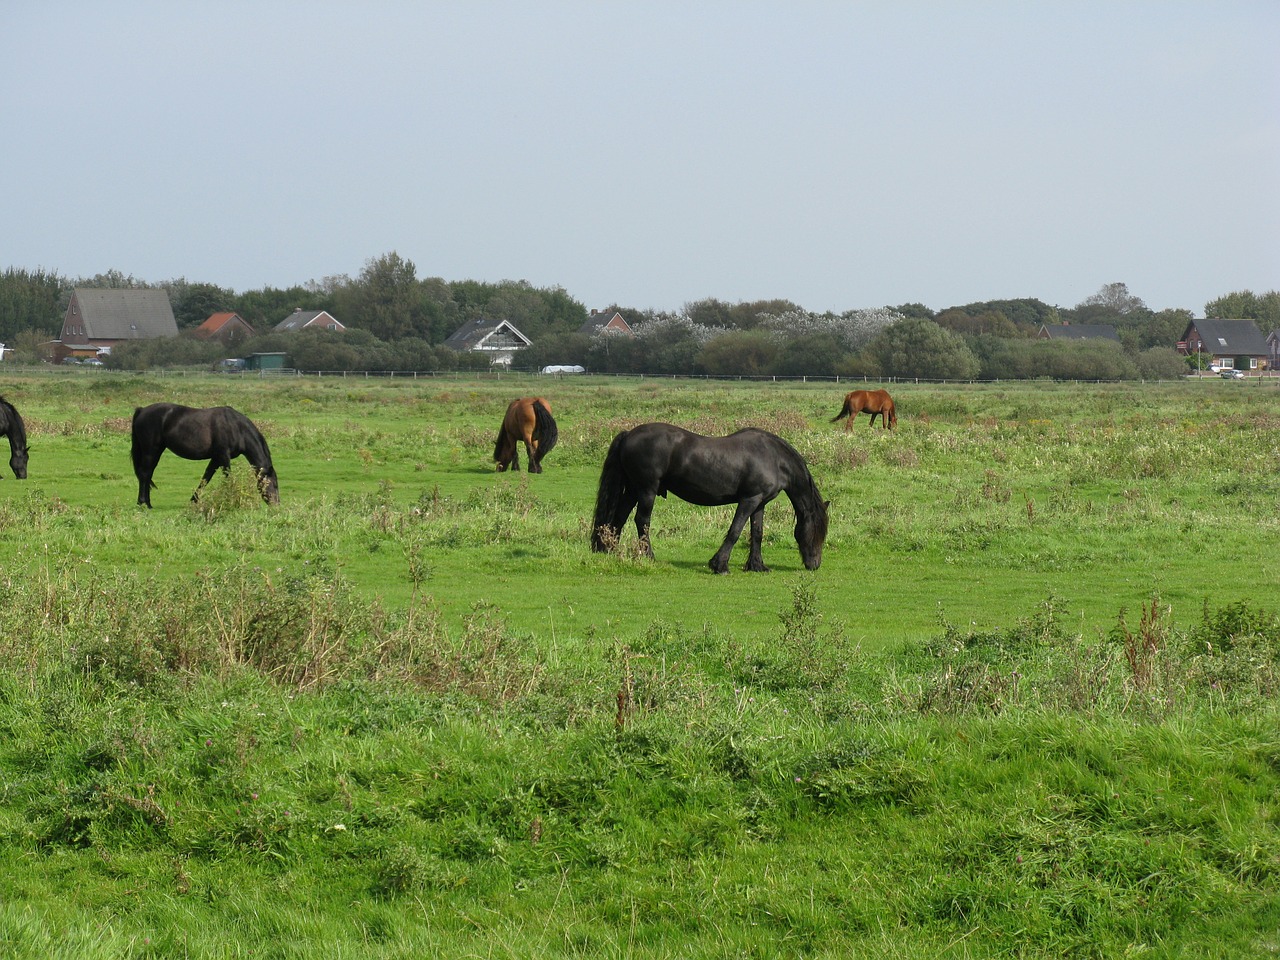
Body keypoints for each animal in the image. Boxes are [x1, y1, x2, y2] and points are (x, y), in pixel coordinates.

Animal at [131, 404, 279, 512]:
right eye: (275, 484)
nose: (277, 505)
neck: (236, 427)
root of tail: (142, 410)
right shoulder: (223, 456)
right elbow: (228, 478)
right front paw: (230, 498)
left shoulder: (216, 458)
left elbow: (205, 479)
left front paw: (193, 501)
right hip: (151, 451)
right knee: (145, 474)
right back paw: (142, 503)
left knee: (148, 474)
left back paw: (148, 503)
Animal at [591, 424, 829, 576]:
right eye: (816, 532)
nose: (815, 564)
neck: (773, 458)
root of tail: (629, 434)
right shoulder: (749, 500)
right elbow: (735, 531)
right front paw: (720, 565)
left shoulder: (760, 503)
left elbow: (757, 533)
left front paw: (757, 566)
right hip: (646, 490)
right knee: (642, 521)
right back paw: (648, 556)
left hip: (633, 490)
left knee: (619, 518)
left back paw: (610, 549)